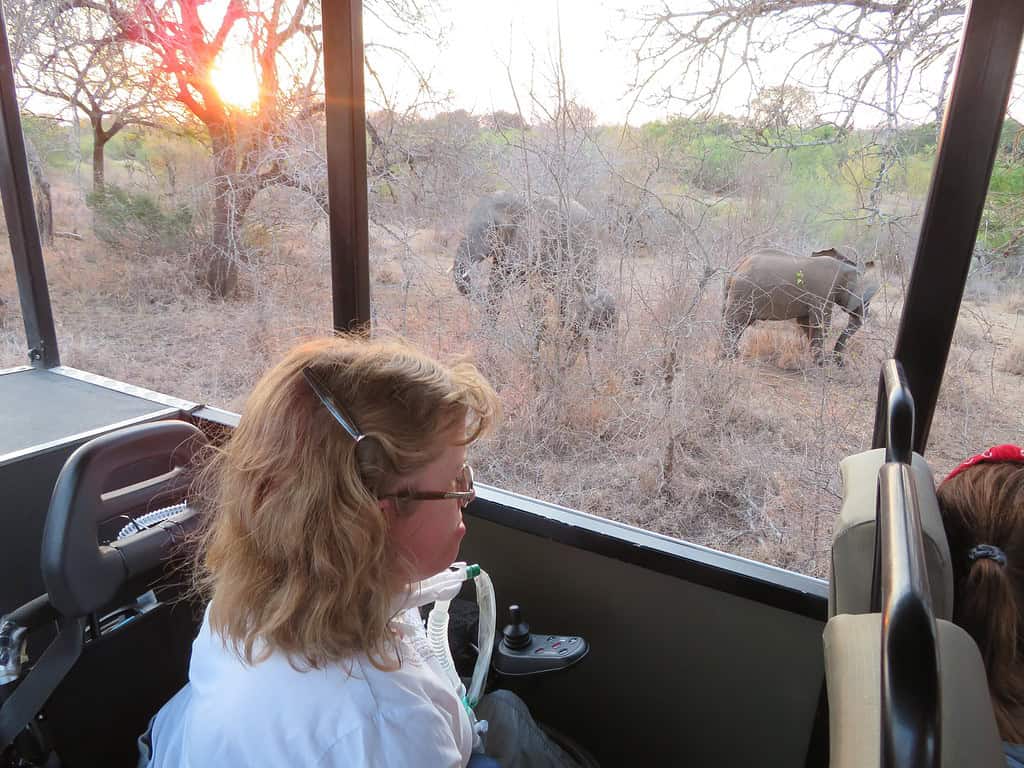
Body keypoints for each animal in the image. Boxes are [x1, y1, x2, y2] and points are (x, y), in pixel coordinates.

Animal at [720, 247, 880, 364]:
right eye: (865, 300)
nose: (841, 363)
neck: (844, 269)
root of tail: (738, 267)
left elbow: (806, 323)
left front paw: (818, 360)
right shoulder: (822, 293)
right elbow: (821, 323)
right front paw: (822, 363)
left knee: (742, 324)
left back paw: (734, 354)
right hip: (744, 294)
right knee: (735, 322)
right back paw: (729, 357)